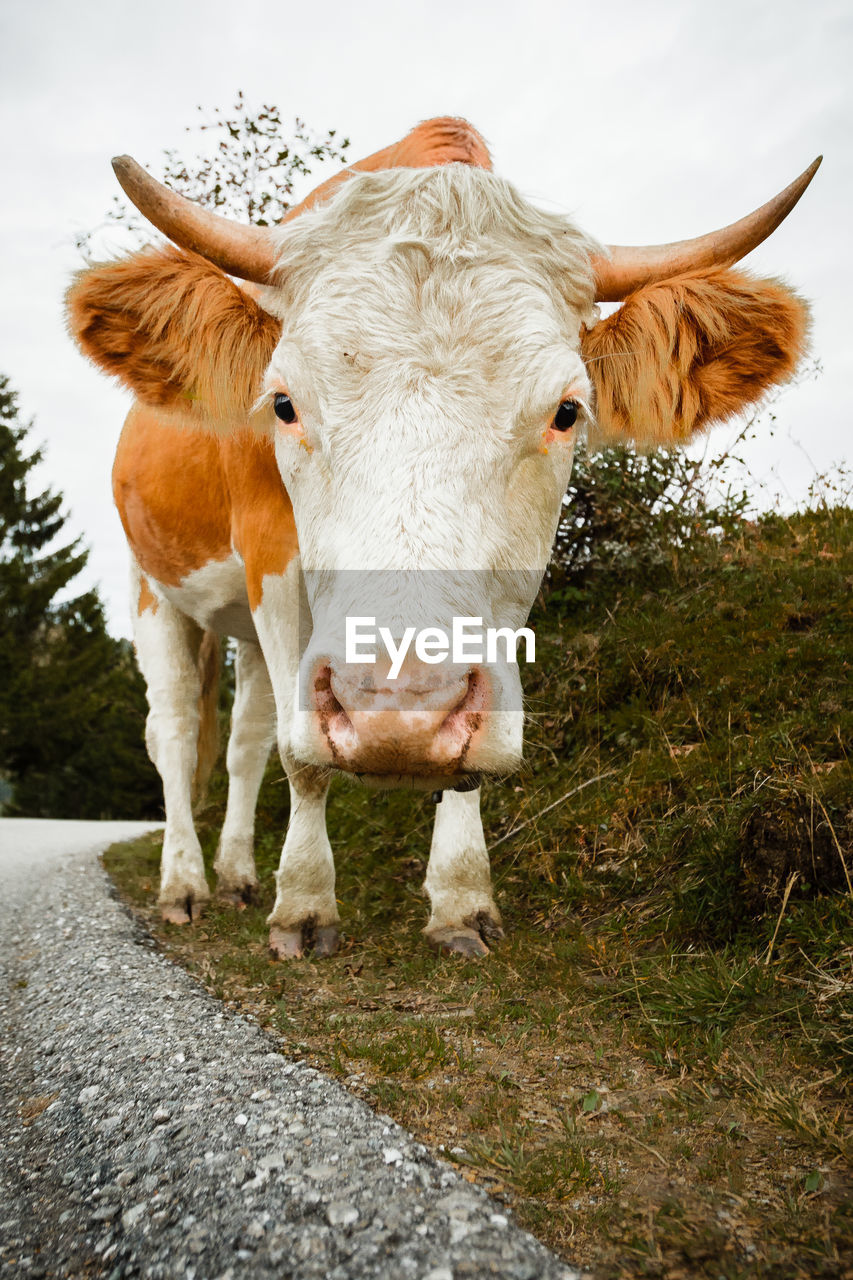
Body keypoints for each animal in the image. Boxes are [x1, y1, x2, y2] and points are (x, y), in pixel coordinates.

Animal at [68, 120, 819, 957]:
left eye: (566, 411)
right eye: (283, 403)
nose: (401, 710)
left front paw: (460, 899)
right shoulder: (272, 560)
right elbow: (303, 757)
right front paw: (305, 907)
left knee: (243, 741)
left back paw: (234, 875)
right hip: (154, 589)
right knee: (174, 735)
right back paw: (184, 886)